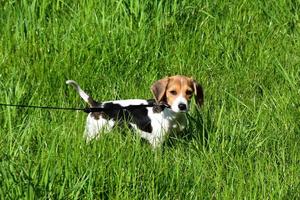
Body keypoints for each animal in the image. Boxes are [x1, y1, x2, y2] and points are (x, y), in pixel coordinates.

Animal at [67, 75, 204, 147]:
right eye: (173, 92)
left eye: (189, 92)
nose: (182, 106)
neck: (171, 113)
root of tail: (97, 105)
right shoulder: (156, 142)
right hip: (94, 133)